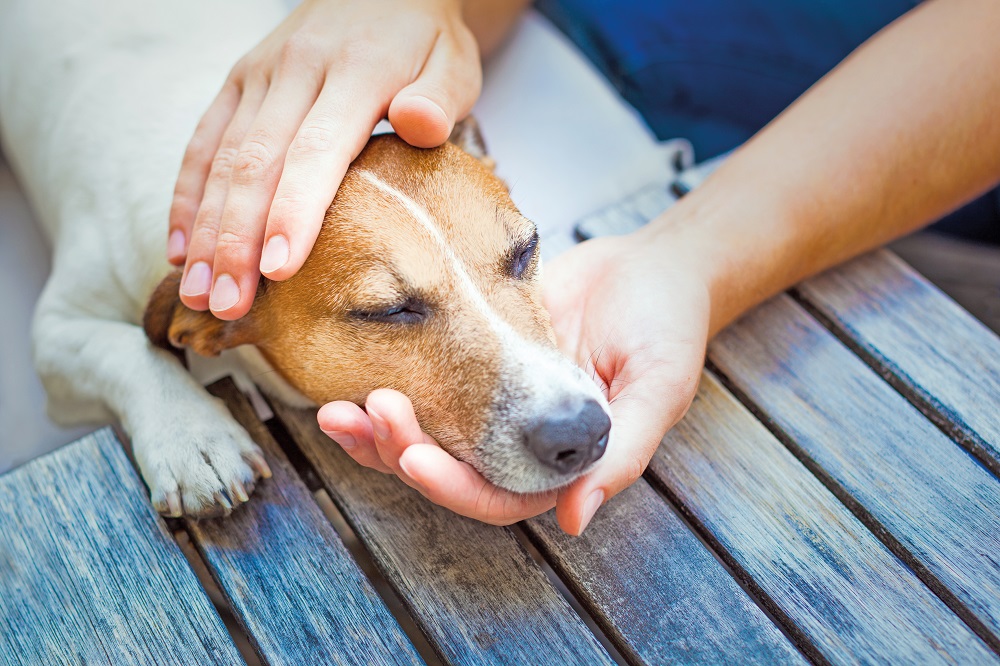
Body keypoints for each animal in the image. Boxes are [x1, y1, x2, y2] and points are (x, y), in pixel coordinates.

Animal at [0, 0, 608, 512]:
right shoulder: (56, 332)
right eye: (389, 311)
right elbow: (125, 349)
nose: (581, 431)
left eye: (525, 251)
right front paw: (192, 437)